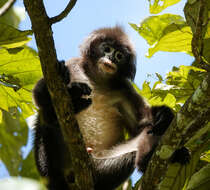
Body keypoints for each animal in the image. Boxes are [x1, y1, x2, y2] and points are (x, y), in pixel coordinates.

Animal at [33, 26, 189, 190]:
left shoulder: (124, 88)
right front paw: (68, 82)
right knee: (46, 119)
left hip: (102, 171)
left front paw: (164, 114)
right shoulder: (73, 64)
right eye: (107, 49)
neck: (98, 81)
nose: (111, 58)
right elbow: (39, 93)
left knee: (145, 137)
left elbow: (141, 125)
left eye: (119, 56)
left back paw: (149, 159)